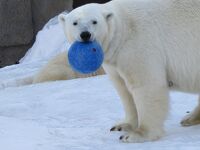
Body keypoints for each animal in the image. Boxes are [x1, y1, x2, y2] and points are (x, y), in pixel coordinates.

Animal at [58, 0, 200, 143]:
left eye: (94, 21)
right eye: (75, 23)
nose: (85, 34)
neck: (124, 28)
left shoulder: (138, 45)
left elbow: (146, 85)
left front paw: (136, 134)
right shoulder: (114, 61)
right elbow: (123, 89)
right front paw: (122, 125)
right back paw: (190, 118)